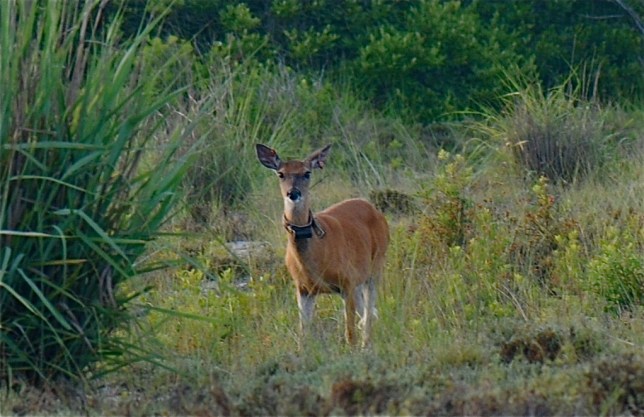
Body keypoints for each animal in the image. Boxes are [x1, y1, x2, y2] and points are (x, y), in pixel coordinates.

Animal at [256, 143, 389, 347]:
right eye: (280, 174)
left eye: (307, 173)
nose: (293, 193)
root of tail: (375, 210)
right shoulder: (303, 289)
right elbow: (303, 335)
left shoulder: (346, 281)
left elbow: (349, 333)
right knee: (369, 314)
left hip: (376, 266)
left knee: (369, 313)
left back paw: (366, 345)